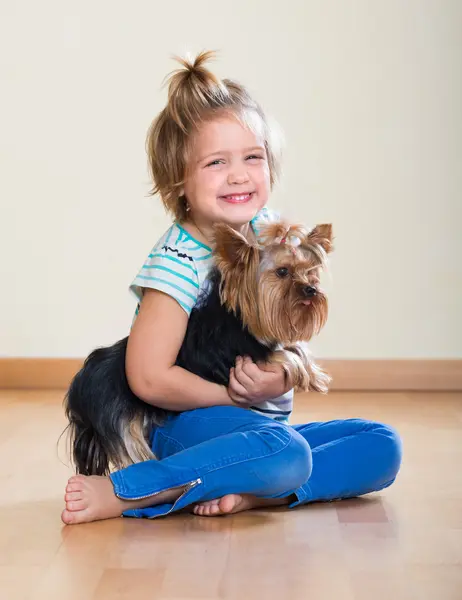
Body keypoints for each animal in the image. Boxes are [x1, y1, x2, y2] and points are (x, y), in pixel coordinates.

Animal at [63, 218, 334, 476]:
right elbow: (284, 354)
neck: (242, 321)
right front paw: (304, 374)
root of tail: (82, 380)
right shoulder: (250, 355)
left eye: (310, 272)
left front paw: (315, 375)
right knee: (133, 451)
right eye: (282, 272)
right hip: (121, 423)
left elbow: (295, 349)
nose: (311, 289)